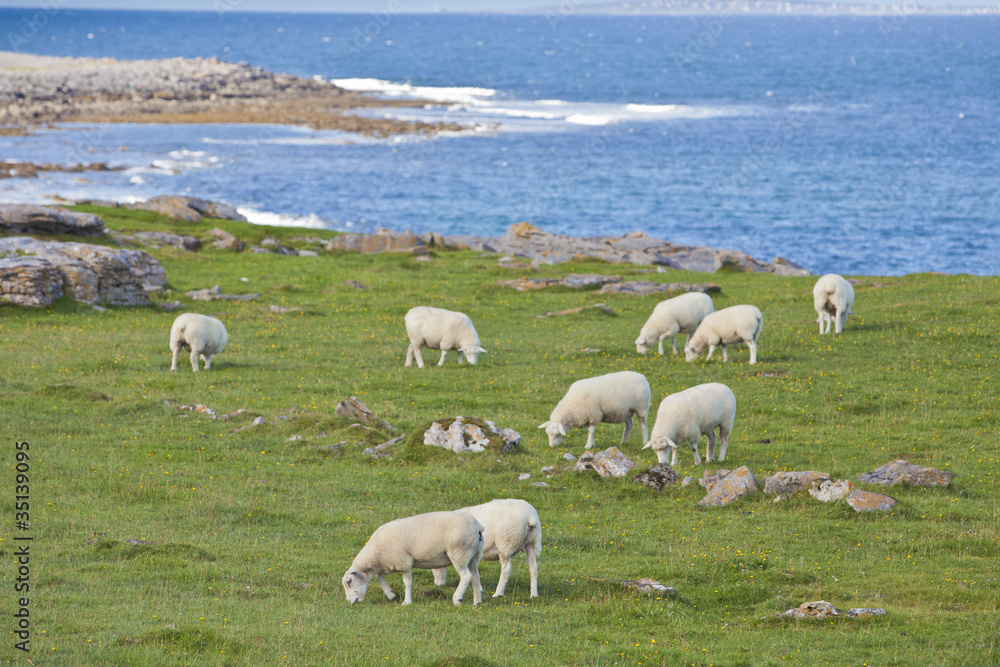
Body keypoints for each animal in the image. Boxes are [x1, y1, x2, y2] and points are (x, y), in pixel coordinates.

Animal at [341, 511, 484, 606]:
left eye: (349, 582)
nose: (349, 601)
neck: (375, 555)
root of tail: (478, 526)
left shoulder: (404, 562)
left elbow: (407, 583)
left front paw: (406, 602)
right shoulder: (386, 563)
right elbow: (378, 577)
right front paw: (391, 594)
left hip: (459, 553)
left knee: (466, 576)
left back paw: (457, 599)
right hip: (472, 556)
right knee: (475, 578)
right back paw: (477, 602)